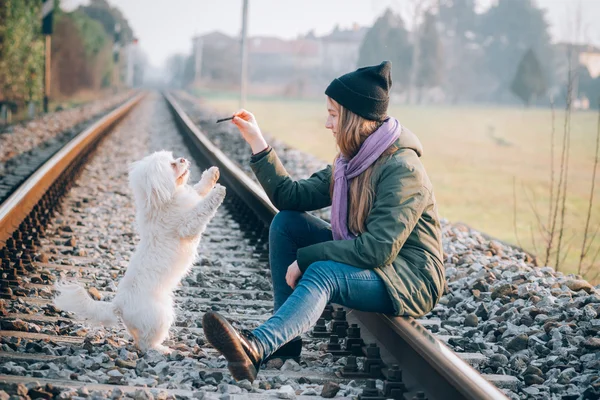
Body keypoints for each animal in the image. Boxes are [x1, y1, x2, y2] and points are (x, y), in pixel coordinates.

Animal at [52, 151, 226, 354]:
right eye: (172, 165)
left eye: (174, 158)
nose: (183, 159)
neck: (165, 200)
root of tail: (118, 305)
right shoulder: (188, 225)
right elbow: (203, 208)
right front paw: (219, 191)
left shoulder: (191, 198)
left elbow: (199, 189)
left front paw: (212, 175)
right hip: (161, 315)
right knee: (145, 344)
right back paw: (163, 350)